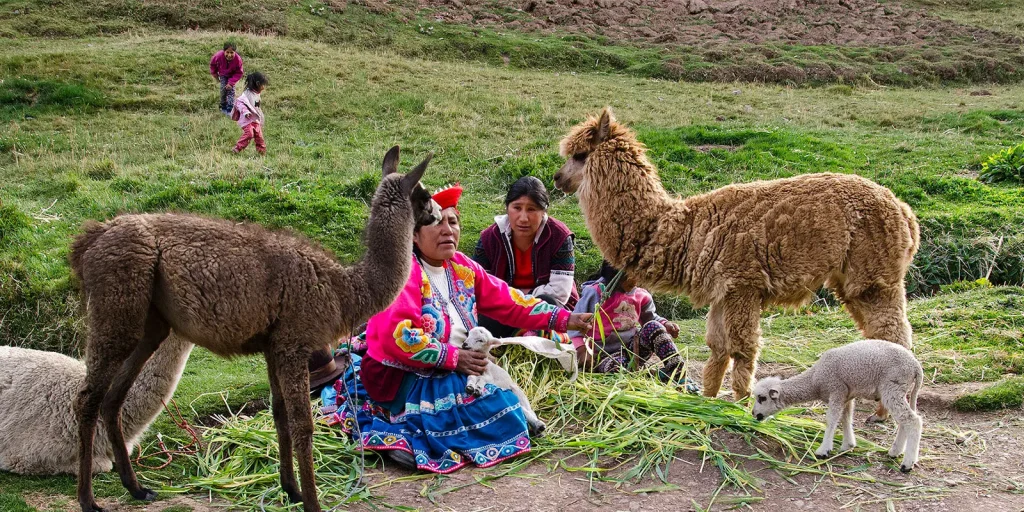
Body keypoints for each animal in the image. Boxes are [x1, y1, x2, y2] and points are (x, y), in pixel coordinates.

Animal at [749, 337, 925, 473]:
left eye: (762, 398)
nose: (753, 414)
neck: (815, 380)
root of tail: (915, 365)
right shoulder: (846, 395)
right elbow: (845, 418)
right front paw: (848, 444)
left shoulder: (836, 390)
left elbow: (831, 420)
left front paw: (823, 450)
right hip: (899, 390)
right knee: (904, 421)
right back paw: (895, 451)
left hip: (893, 386)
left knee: (912, 421)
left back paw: (907, 464)